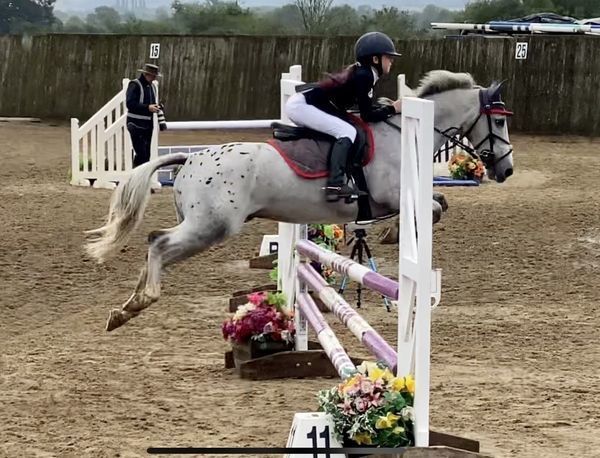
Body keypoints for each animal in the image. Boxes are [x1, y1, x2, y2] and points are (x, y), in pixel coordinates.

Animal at [84, 69, 514, 332]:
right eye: (498, 120)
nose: (506, 170)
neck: (401, 133)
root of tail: (190, 159)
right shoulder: (390, 194)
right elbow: (433, 208)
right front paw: (394, 233)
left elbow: (439, 202)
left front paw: (391, 233)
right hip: (211, 227)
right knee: (157, 241)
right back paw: (135, 304)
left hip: (203, 225)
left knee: (155, 240)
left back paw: (126, 307)